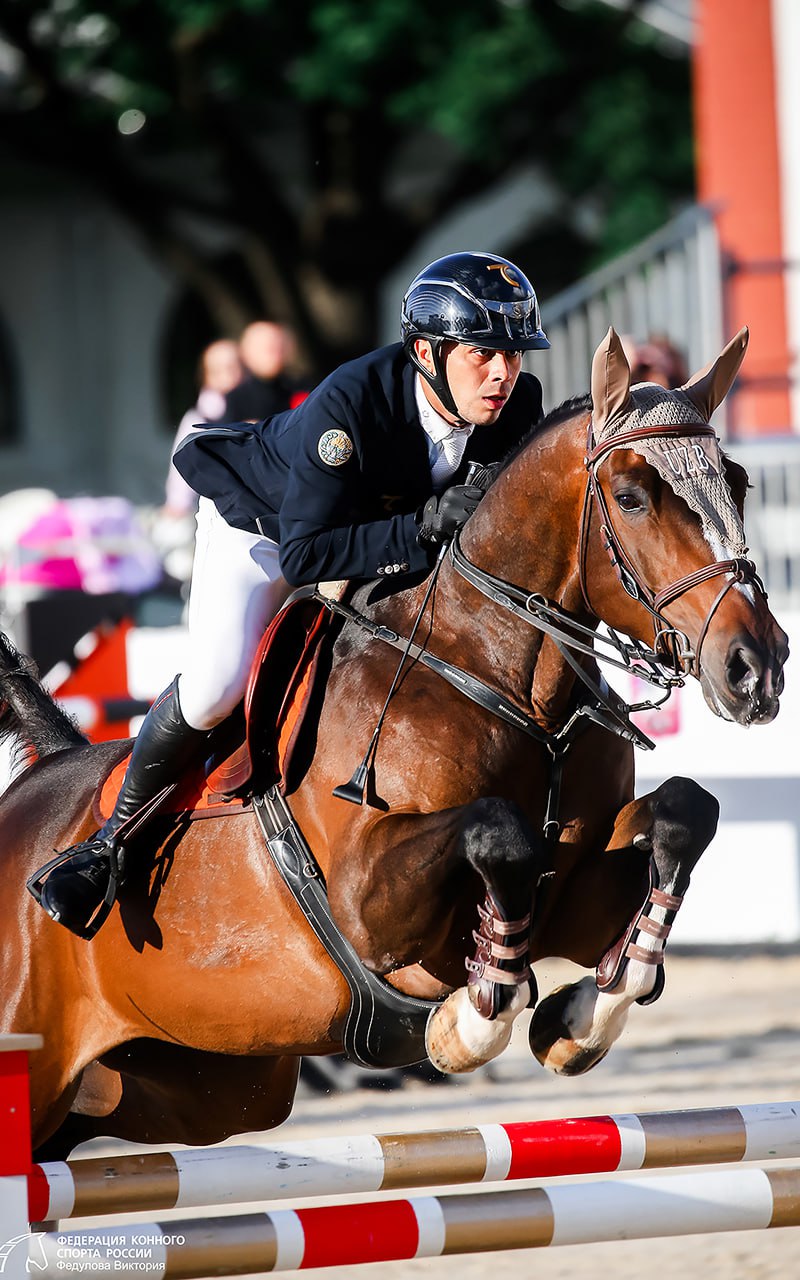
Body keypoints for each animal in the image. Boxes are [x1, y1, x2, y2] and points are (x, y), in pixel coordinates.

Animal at [0, 326, 787, 1160]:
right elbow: (500, 835)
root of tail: (40, 781)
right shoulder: (369, 905)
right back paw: (86, 871)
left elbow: (681, 815)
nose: (757, 666)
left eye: (738, 483)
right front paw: (469, 1020)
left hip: (196, 1085)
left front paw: (582, 1017)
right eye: (633, 498)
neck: (503, 678)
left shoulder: (575, 890)